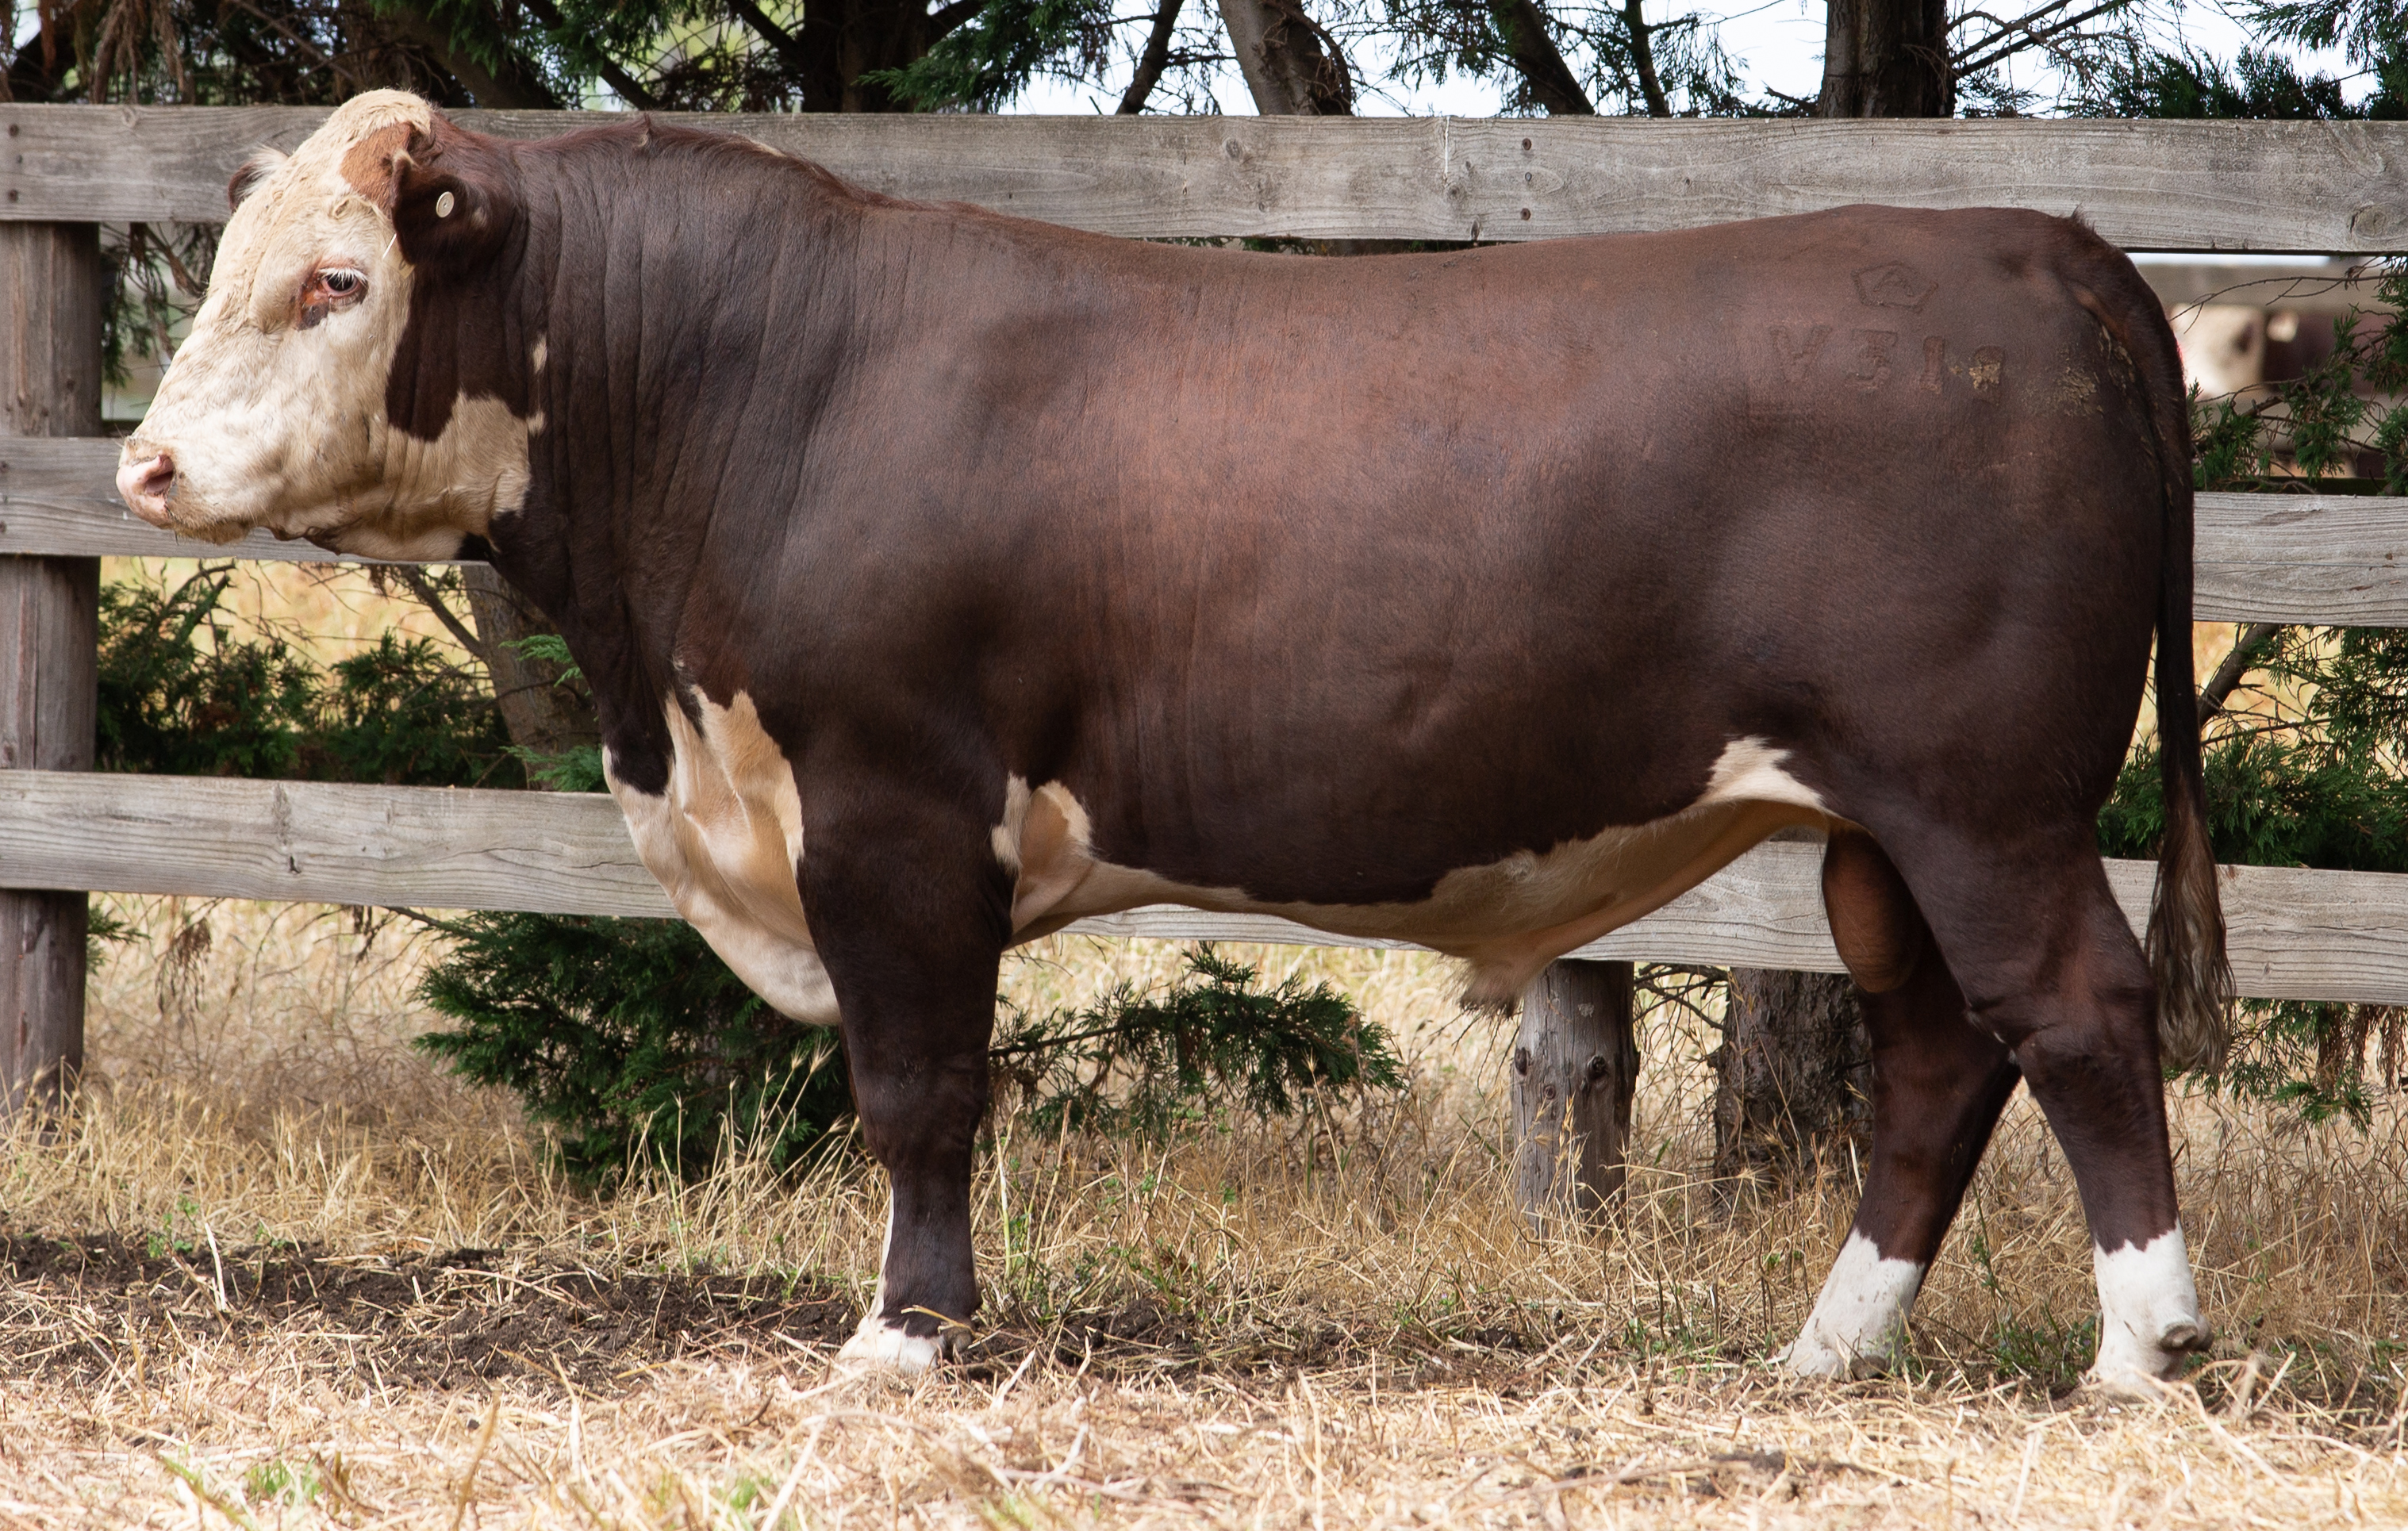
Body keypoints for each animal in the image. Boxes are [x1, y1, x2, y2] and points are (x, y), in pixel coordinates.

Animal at [118, 91, 2231, 1395]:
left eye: (337, 279)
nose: (144, 465)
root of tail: (2041, 241)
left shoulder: (890, 800)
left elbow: (917, 1086)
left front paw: (904, 1331)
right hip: (1878, 825)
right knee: (1939, 1051)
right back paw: (1829, 1344)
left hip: (1979, 793)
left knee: (2073, 1007)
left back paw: (2140, 1341)